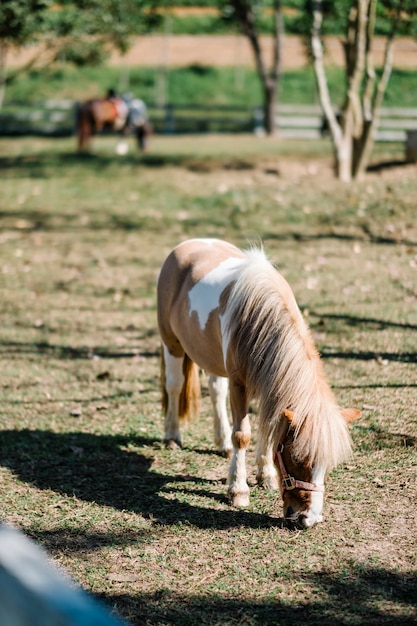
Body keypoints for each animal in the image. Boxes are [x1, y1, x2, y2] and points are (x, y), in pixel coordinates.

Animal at [156, 239, 358, 528]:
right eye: (298, 459)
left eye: (327, 465)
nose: (308, 519)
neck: (259, 315)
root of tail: (187, 244)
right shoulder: (240, 384)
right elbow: (242, 434)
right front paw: (238, 490)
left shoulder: (268, 384)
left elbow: (267, 427)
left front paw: (266, 476)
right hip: (170, 343)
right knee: (174, 385)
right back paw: (172, 436)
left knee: (215, 391)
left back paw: (222, 443)